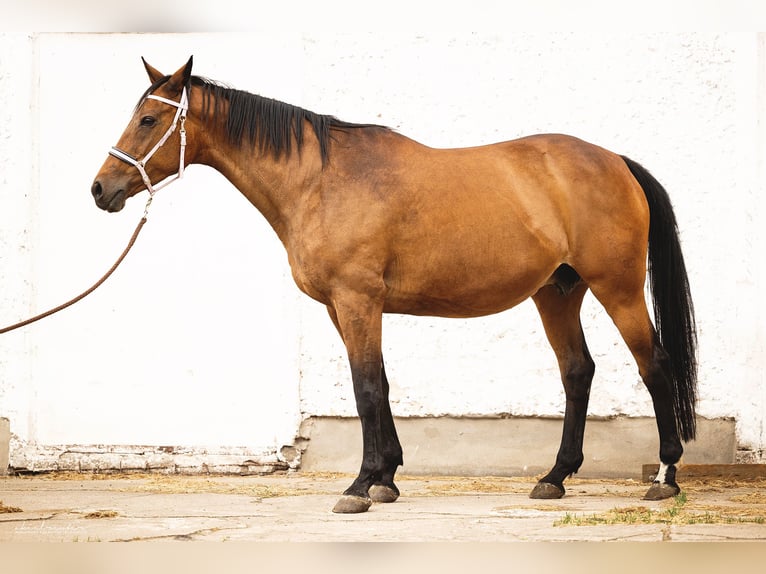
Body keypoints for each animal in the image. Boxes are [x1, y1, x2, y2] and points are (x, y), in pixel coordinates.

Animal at [91, 58, 704, 516]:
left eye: (149, 119)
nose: (101, 189)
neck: (320, 181)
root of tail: (615, 161)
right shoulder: (344, 308)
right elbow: (379, 384)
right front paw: (385, 478)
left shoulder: (358, 300)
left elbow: (366, 388)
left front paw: (360, 486)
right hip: (557, 292)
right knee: (578, 372)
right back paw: (555, 477)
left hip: (617, 288)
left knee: (654, 366)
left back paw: (665, 476)